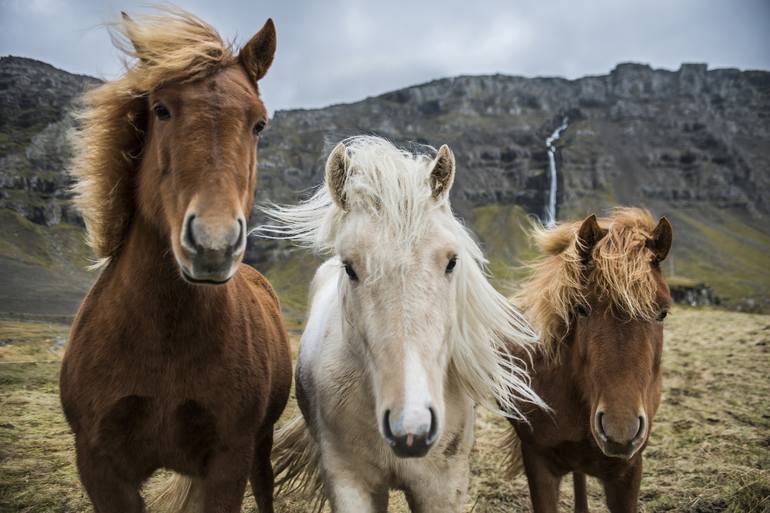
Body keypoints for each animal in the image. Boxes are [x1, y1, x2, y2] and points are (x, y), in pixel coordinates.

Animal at [60, 9, 292, 512]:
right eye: (160, 109)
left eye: (259, 124)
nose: (213, 245)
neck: (164, 337)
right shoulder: (100, 466)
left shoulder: (227, 460)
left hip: (260, 444)